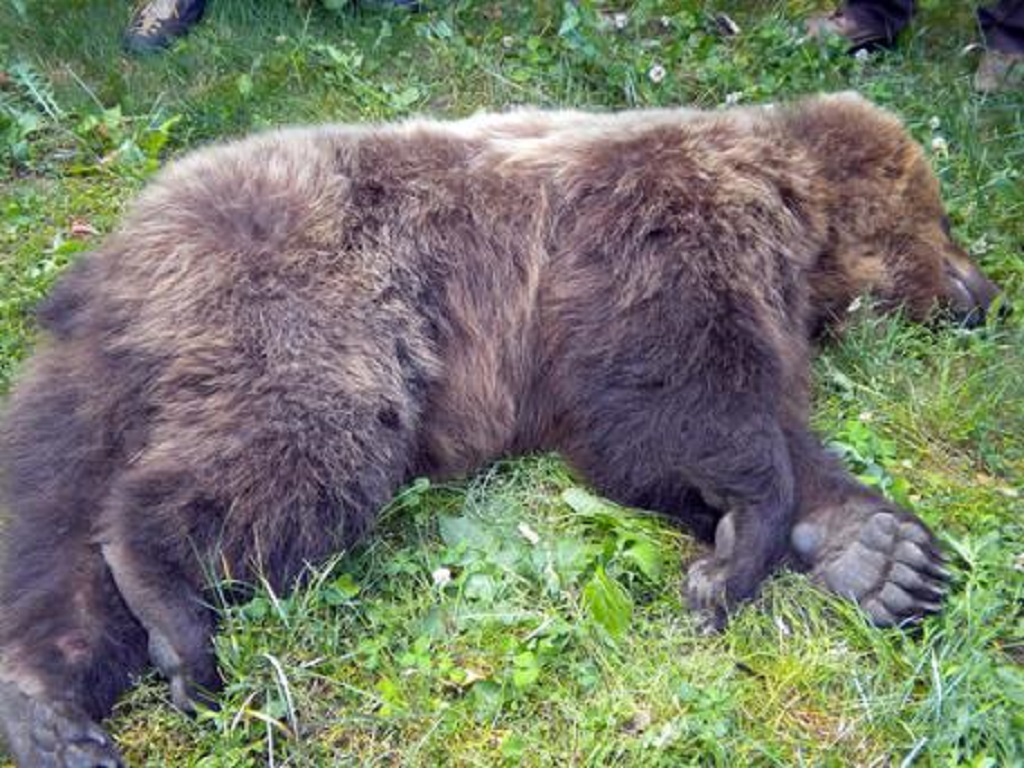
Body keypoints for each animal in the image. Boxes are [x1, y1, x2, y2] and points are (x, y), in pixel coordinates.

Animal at [0, 92, 1001, 767]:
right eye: (944, 219)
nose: (988, 293)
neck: (792, 218)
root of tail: (121, 259)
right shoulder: (652, 232)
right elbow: (670, 393)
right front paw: (739, 557)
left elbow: (688, 430)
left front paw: (884, 555)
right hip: (316, 305)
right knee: (297, 440)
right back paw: (168, 600)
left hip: (93, 383)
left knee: (49, 521)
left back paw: (50, 704)